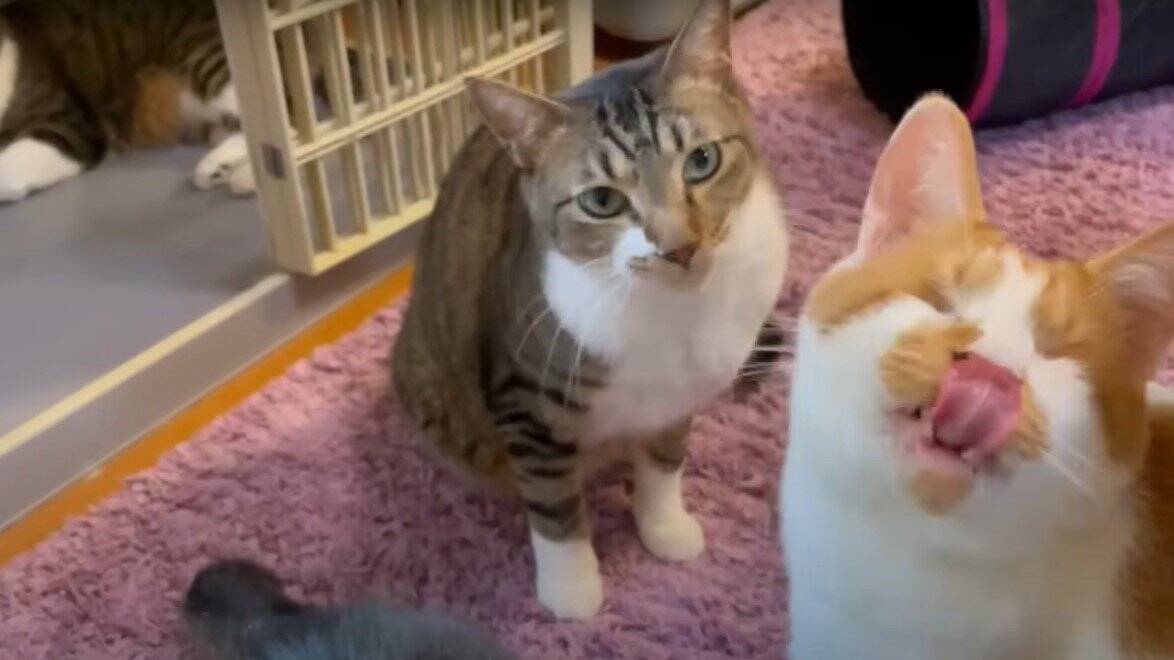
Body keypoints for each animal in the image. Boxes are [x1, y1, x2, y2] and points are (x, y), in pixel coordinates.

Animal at [392, 0, 788, 620]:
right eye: (602, 201)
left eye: (702, 160)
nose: (679, 247)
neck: (675, 314)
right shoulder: (525, 399)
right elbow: (554, 505)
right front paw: (572, 590)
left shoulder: (679, 395)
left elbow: (665, 460)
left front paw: (664, 527)